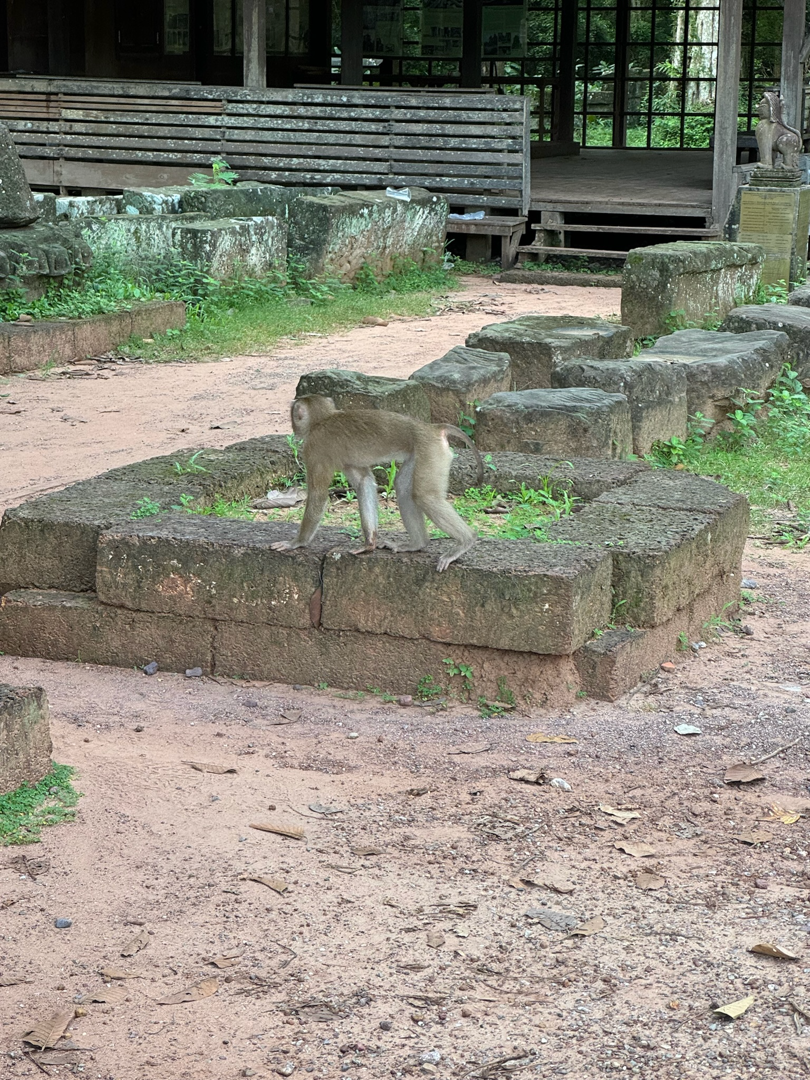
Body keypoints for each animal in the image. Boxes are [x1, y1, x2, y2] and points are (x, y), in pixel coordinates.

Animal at [270, 395, 484, 571]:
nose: (293, 426)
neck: (323, 419)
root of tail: (432, 428)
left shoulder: (314, 448)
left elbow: (318, 495)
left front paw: (296, 543)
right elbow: (364, 482)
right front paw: (369, 544)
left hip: (430, 451)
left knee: (425, 496)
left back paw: (465, 541)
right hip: (420, 452)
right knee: (403, 488)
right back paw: (417, 544)